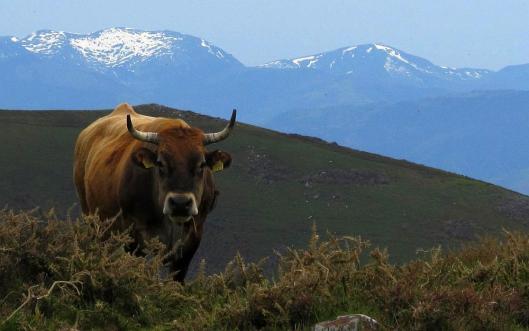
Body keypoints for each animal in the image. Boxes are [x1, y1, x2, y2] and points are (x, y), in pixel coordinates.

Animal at [72, 104, 235, 282]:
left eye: (201, 164)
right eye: (160, 163)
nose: (180, 203)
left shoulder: (192, 238)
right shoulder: (134, 234)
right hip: (92, 219)